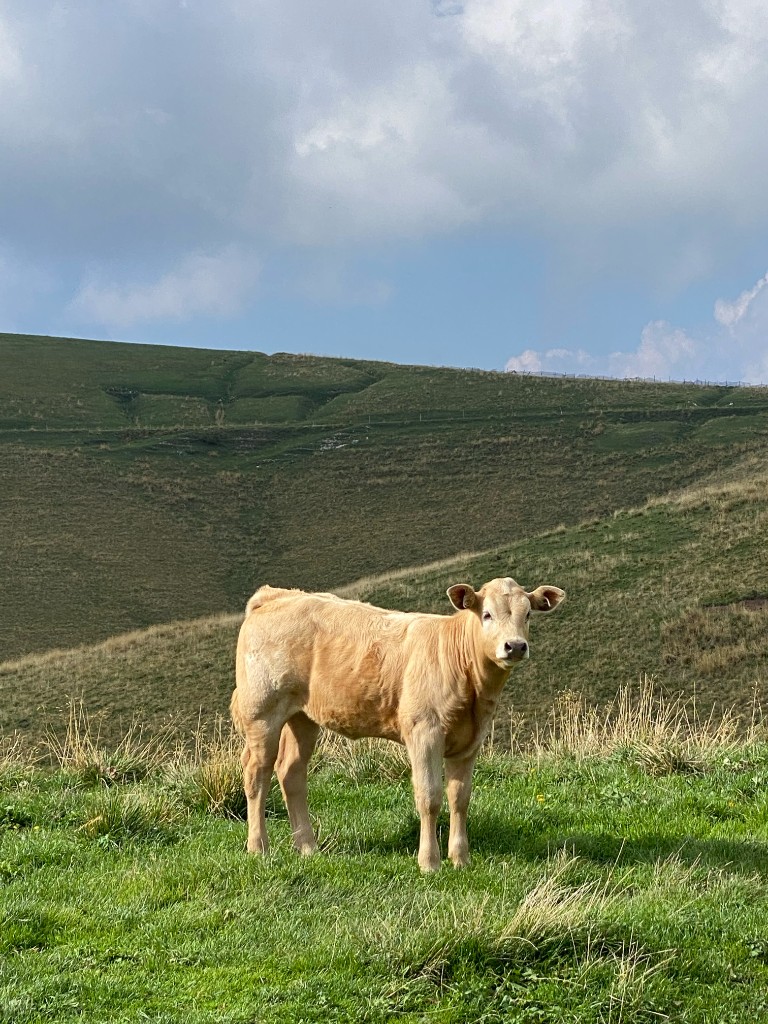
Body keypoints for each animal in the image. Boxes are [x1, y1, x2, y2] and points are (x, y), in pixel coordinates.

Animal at [231, 576, 565, 871]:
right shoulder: (424, 732)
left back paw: (308, 847)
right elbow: (429, 797)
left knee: (291, 772)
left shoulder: (470, 741)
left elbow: (460, 798)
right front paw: (429, 862)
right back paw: (258, 847)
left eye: (528, 614)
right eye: (487, 614)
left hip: (302, 716)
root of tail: (277, 595)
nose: (515, 646)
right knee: (256, 773)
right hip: (262, 712)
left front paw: (461, 859)